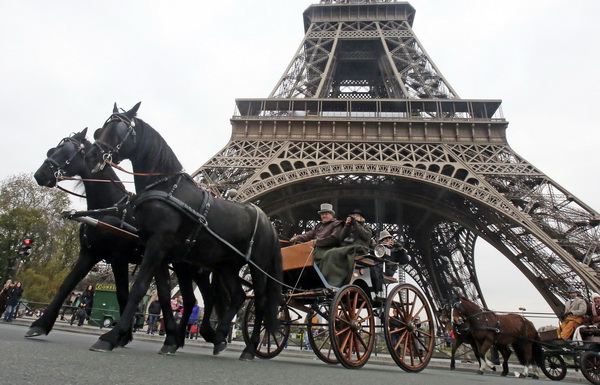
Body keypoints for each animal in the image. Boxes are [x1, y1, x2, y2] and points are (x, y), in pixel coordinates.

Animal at [31, 128, 216, 352]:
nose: (40, 175)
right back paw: (177, 339)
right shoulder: (89, 253)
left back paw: (209, 335)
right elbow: (66, 285)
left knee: (207, 298)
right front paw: (40, 325)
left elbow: (122, 294)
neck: (109, 209)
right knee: (185, 298)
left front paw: (119, 336)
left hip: (195, 268)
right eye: (52, 150)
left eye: (69, 153)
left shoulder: (119, 257)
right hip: (178, 265)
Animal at [88, 103, 282, 360]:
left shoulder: (158, 244)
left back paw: (249, 349)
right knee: (239, 296)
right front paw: (170, 341)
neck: (165, 186)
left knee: (259, 302)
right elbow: (161, 293)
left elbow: (138, 288)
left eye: (118, 130)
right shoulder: (159, 249)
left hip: (258, 267)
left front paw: (110, 337)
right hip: (227, 266)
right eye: (100, 129)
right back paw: (219, 335)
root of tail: (269, 224)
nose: (92, 155)